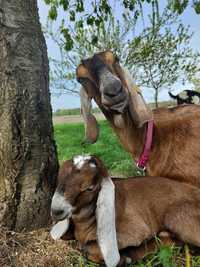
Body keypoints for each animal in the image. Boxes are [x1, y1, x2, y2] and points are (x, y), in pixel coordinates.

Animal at [50, 155, 200, 267]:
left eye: (89, 188)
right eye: (59, 179)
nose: (56, 211)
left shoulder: (135, 229)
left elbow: (89, 247)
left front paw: (122, 259)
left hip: (176, 217)